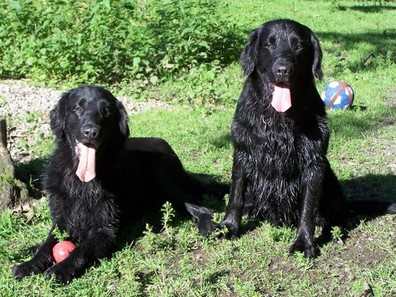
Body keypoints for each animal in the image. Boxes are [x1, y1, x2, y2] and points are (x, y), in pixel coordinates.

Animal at [12, 85, 226, 282]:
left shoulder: (105, 229)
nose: (91, 132)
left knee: (200, 207)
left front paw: (60, 269)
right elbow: (46, 245)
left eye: (105, 112)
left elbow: (82, 250)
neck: (81, 181)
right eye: (77, 108)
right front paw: (28, 264)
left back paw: (206, 227)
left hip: (169, 183)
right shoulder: (62, 221)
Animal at [186, 19, 396, 256]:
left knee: (338, 214)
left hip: (328, 175)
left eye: (298, 46)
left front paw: (304, 241)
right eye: (269, 44)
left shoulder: (314, 162)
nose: (282, 70)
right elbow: (235, 196)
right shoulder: (242, 153)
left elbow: (308, 207)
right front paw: (229, 226)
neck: (279, 118)